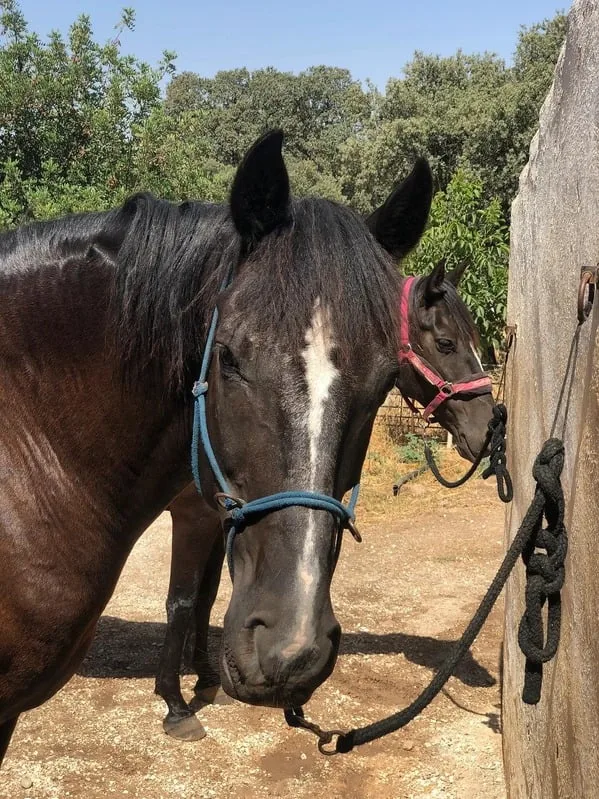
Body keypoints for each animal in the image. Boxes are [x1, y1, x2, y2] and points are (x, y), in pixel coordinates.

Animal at [0, 129, 494, 764]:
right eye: (446, 342)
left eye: (383, 377)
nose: (291, 652)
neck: (31, 443)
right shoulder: (193, 515)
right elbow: (186, 600)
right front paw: (176, 703)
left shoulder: (215, 517)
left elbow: (209, 595)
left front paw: (204, 675)